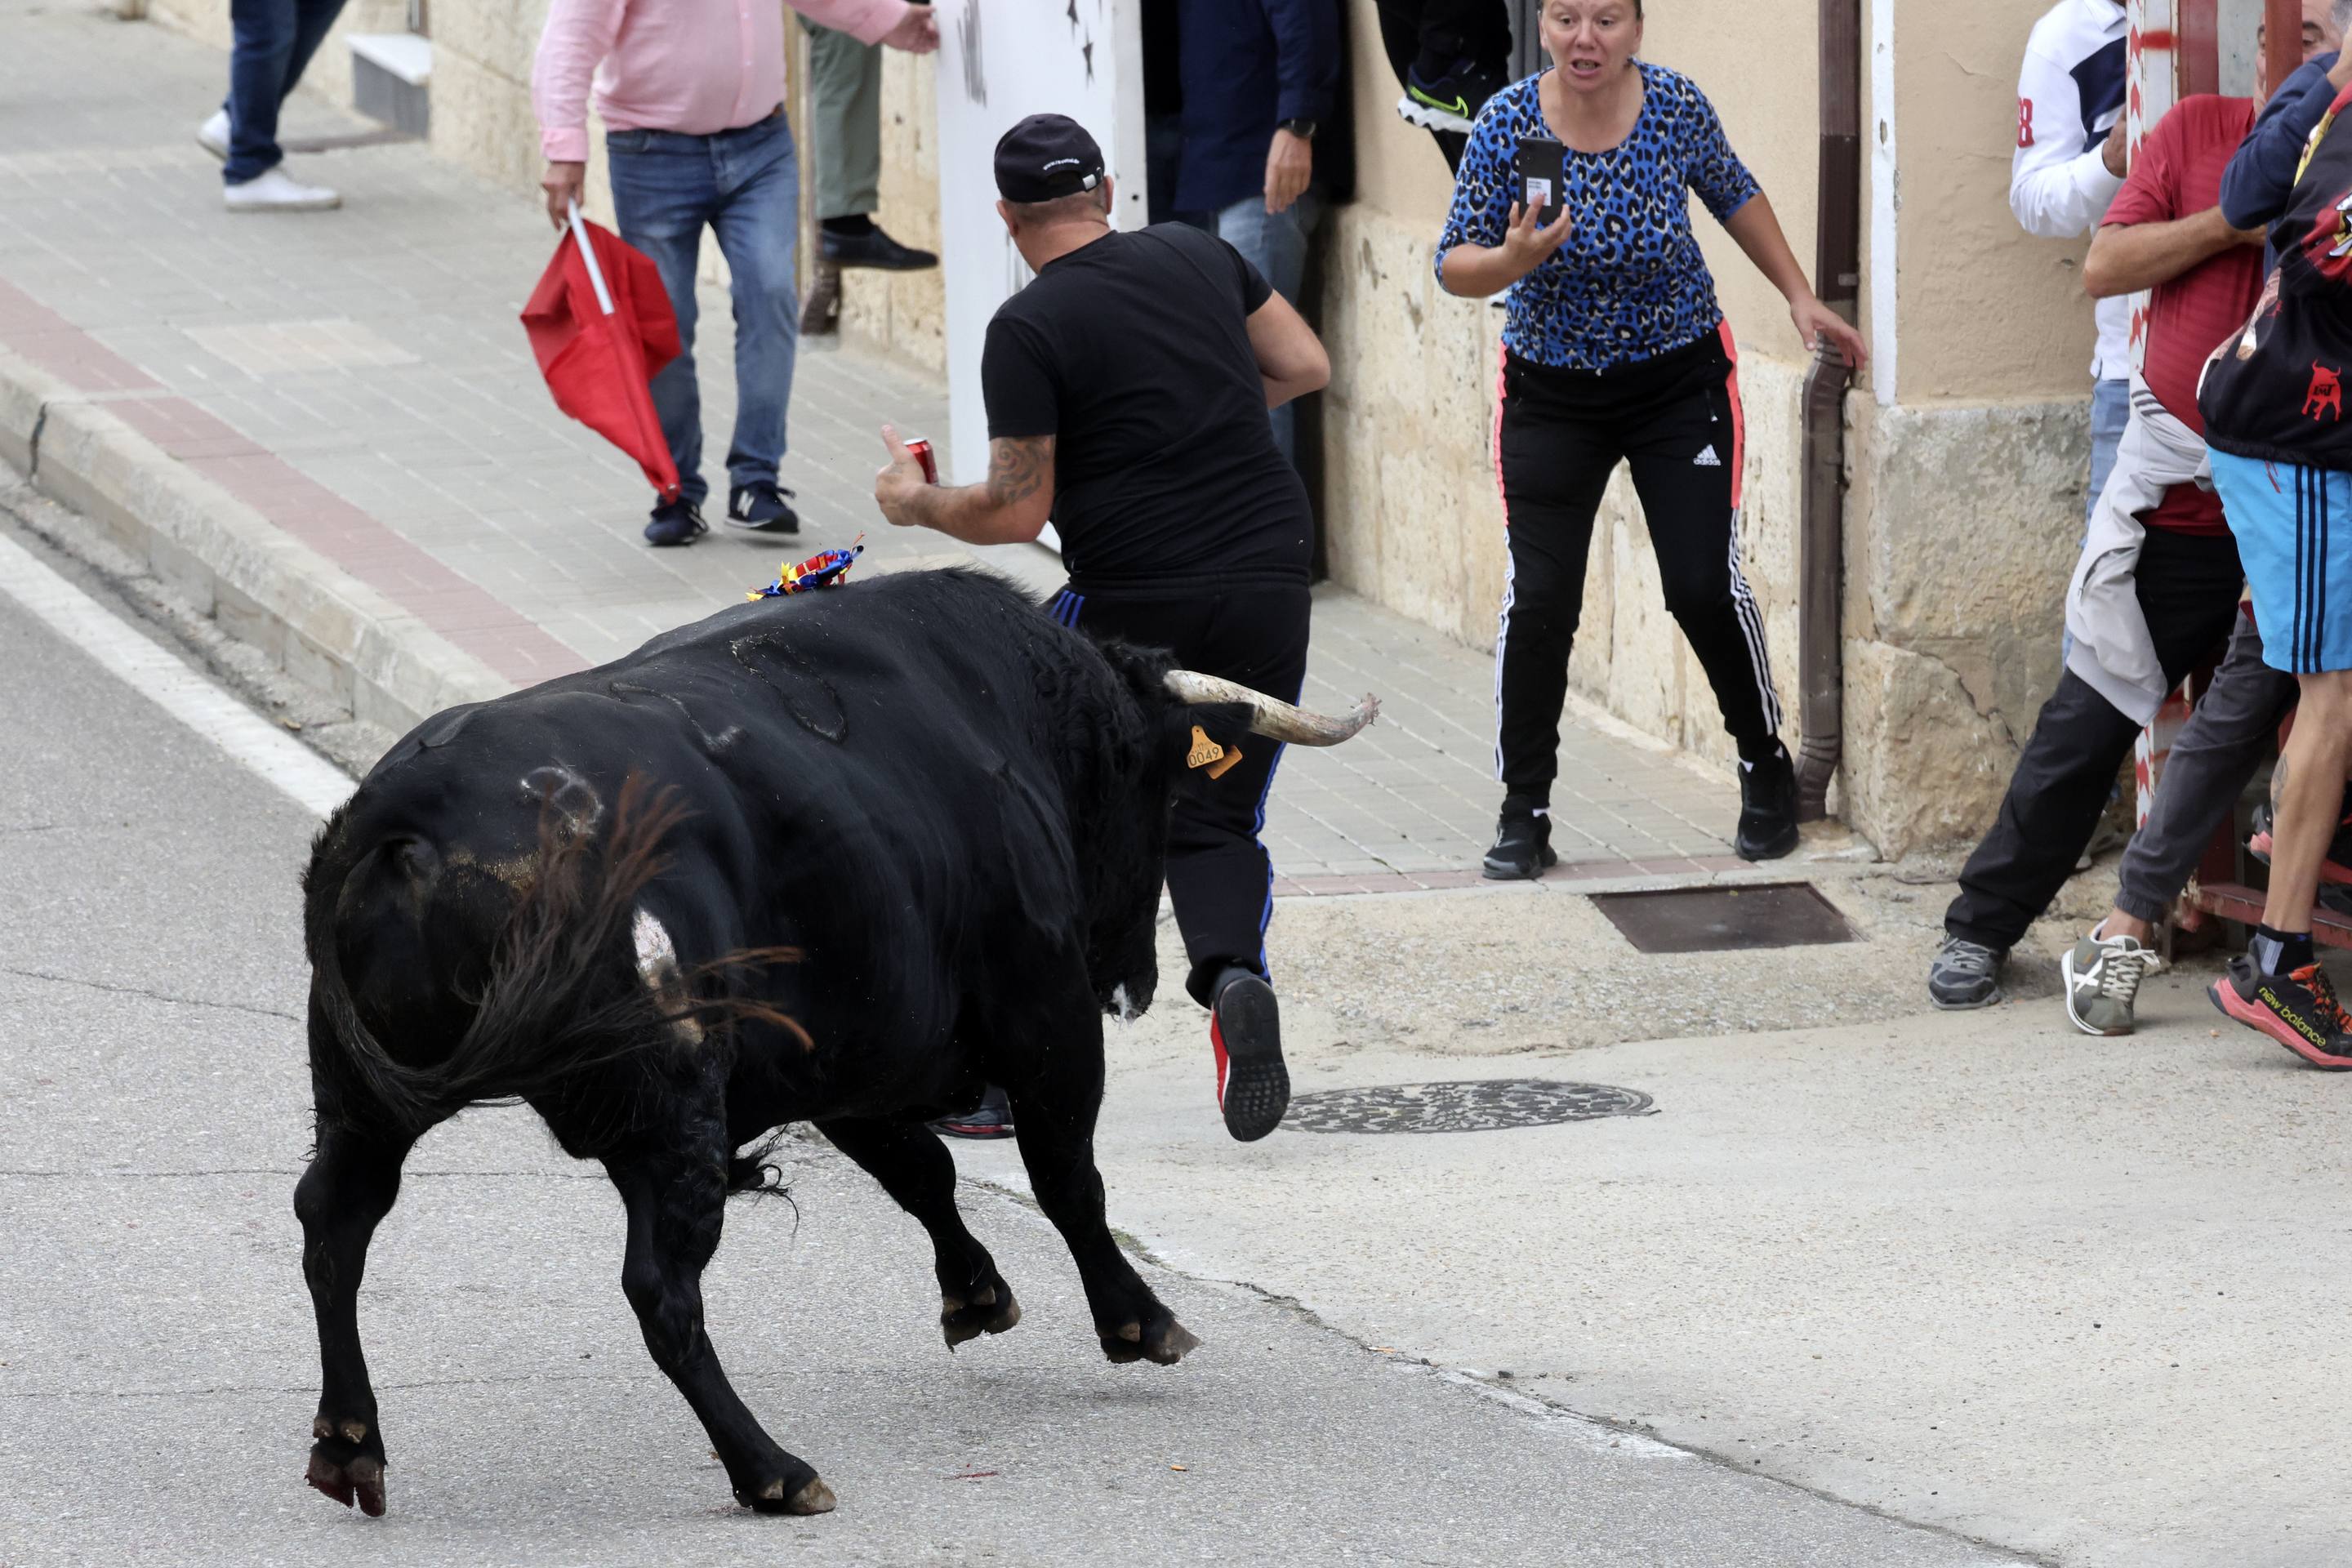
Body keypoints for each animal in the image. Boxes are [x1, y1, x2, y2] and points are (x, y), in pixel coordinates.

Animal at [294, 566, 1373, 1523]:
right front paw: (1137, 1321)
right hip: (672, 1119)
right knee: (662, 1292)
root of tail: (410, 809)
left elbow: (922, 1170)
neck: (1005, 708)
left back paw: (351, 1445)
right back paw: (773, 1470)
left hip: (361, 1096)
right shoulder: (1042, 1014)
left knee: (334, 1225)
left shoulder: (851, 1055)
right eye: (1157, 789)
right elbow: (1066, 1178)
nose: (1136, 980)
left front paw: (976, 1294)